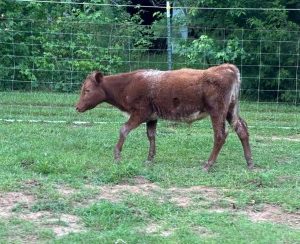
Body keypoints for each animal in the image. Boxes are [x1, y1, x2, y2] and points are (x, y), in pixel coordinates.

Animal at [75, 65, 253, 172]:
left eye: (87, 90)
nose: (77, 107)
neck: (128, 84)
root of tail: (227, 67)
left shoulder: (140, 113)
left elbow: (124, 129)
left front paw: (117, 156)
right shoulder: (152, 117)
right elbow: (151, 135)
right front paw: (150, 159)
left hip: (217, 111)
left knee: (220, 135)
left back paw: (207, 165)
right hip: (231, 110)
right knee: (242, 129)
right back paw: (250, 162)